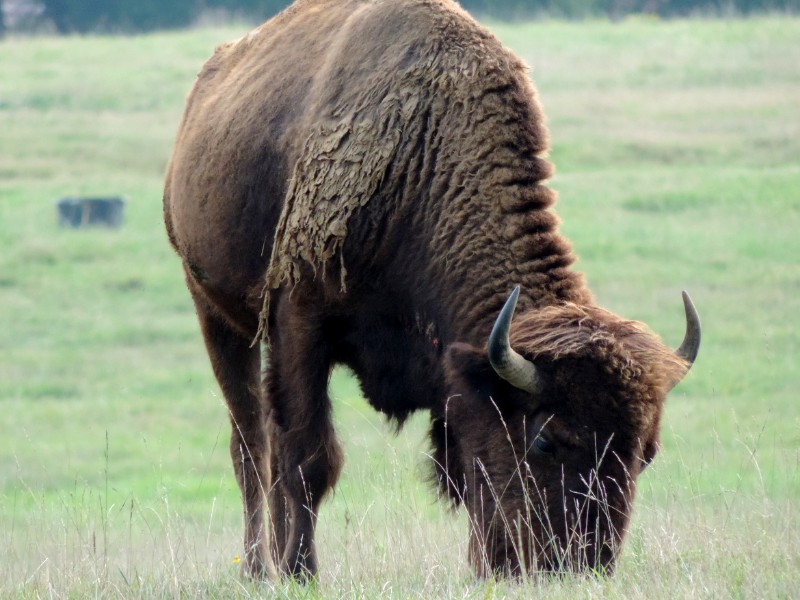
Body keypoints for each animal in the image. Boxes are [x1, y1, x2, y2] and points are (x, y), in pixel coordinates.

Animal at [164, 0, 700, 580]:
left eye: (645, 452)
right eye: (546, 440)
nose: (580, 563)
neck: (423, 161)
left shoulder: (451, 367)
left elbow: (463, 469)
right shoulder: (301, 323)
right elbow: (309, 457)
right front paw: (302, 570)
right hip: (217, 315)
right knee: (253, 444)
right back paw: (261, 568)